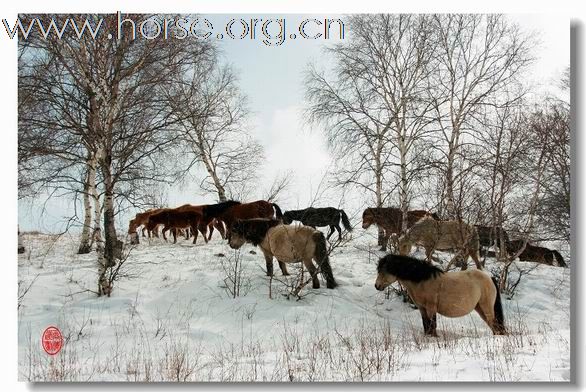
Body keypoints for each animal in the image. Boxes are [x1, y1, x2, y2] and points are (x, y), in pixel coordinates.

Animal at [376, 254, 504, 336]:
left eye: (384, 270)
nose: (377, 286)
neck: (422, 280)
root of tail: (490, 278)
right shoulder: (422, 308)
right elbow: (426, 325)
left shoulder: (431, 308)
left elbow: (432, 325)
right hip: (480, 308)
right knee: (493, 325)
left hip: (487, 307)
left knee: (494, 323)